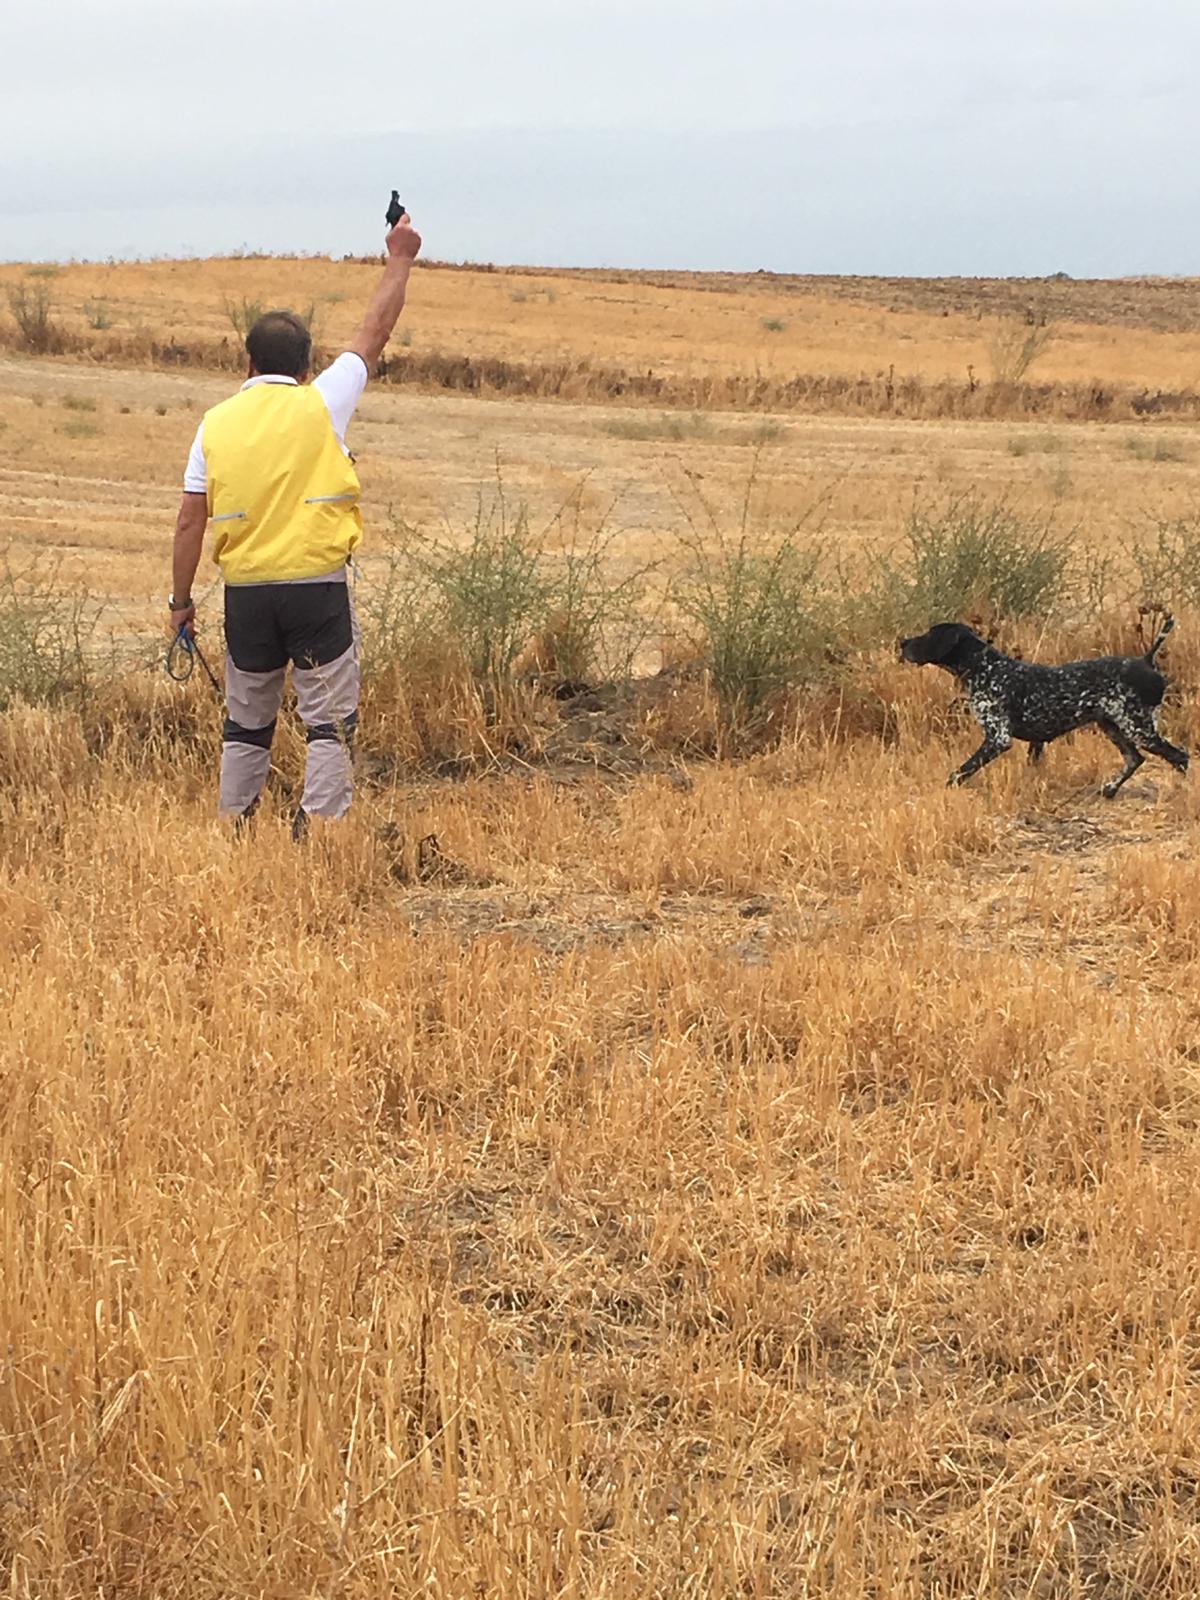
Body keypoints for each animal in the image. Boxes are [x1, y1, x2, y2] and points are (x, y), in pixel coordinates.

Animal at [902, 614, 1196, 796]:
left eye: (929, 635)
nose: (902, 642)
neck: (985, 668)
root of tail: (1146, 660)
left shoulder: (998, 738)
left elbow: (960, 771)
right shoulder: (1035, 742)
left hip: (1140, 729)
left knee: (1179, 757)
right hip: (1113, 727)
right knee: (1135, 759)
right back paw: (1111, 789)